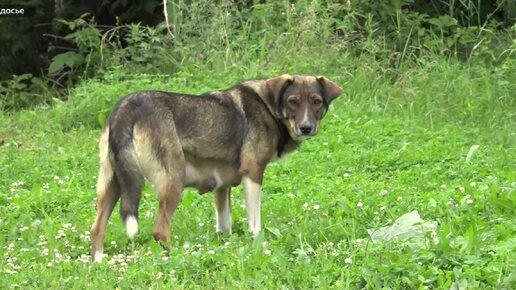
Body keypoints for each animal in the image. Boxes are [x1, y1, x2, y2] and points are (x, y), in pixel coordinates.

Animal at [90, 73, 340, 262]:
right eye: (293, 101)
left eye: (317, 101)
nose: (306, 127)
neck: (269, 105)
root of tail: (126, 107)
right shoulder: (253, 173)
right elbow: (255, 221)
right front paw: (256, 243)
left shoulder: (222, 185)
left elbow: (224, 224)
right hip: (172, 181)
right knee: (160, 230)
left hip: (114, 183)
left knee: (97, 228)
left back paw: (98, 263)